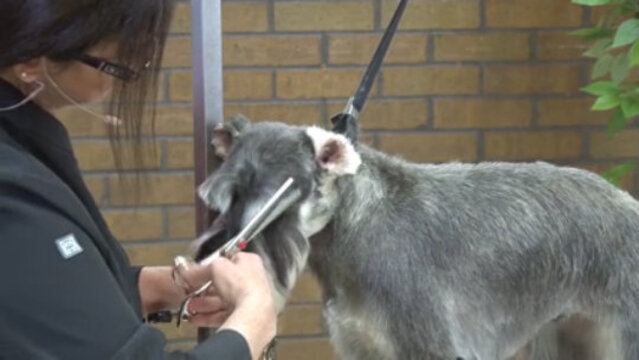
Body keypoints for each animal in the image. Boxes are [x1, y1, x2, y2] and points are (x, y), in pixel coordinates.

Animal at [195, 115, 639, 360]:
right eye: (225, 199)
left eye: (280, 205)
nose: (223, 253)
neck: (357, 225)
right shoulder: (363, 346)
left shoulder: (427, 344)